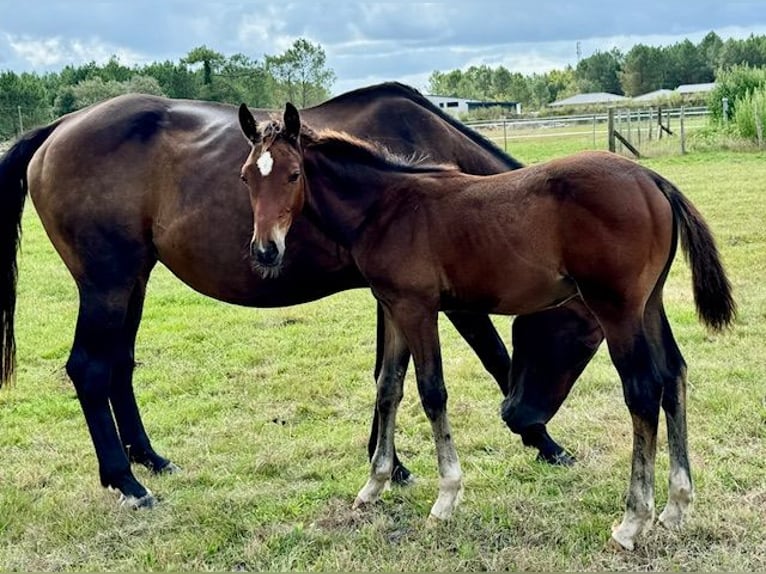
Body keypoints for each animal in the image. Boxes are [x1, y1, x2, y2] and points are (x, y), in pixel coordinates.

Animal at [1, 82, 608, 512]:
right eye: (586, 336)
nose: (519, 414)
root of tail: (59, 128)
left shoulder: (394, 296)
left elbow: (388, 378)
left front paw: (390, 466)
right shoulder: (440, 298)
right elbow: (491, 357)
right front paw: (545, 443)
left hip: (133, 281)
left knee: (119, 366)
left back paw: (149, 460)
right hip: (105, 284)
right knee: (88, 369)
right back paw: (126, 481)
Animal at [238, 104, 736, 552]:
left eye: (293, 175)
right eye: (247, 177)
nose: (266, 251)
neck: (385, 208)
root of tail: (651, 179)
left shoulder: (418, 308)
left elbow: (431, 392)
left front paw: (445, 498)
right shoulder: (394, 307)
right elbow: (388, 389)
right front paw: (374, 484)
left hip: (617, 309)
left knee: (642, 389)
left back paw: (633, 521)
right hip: (649, 305)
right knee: (673, 375)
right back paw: (676, 506)